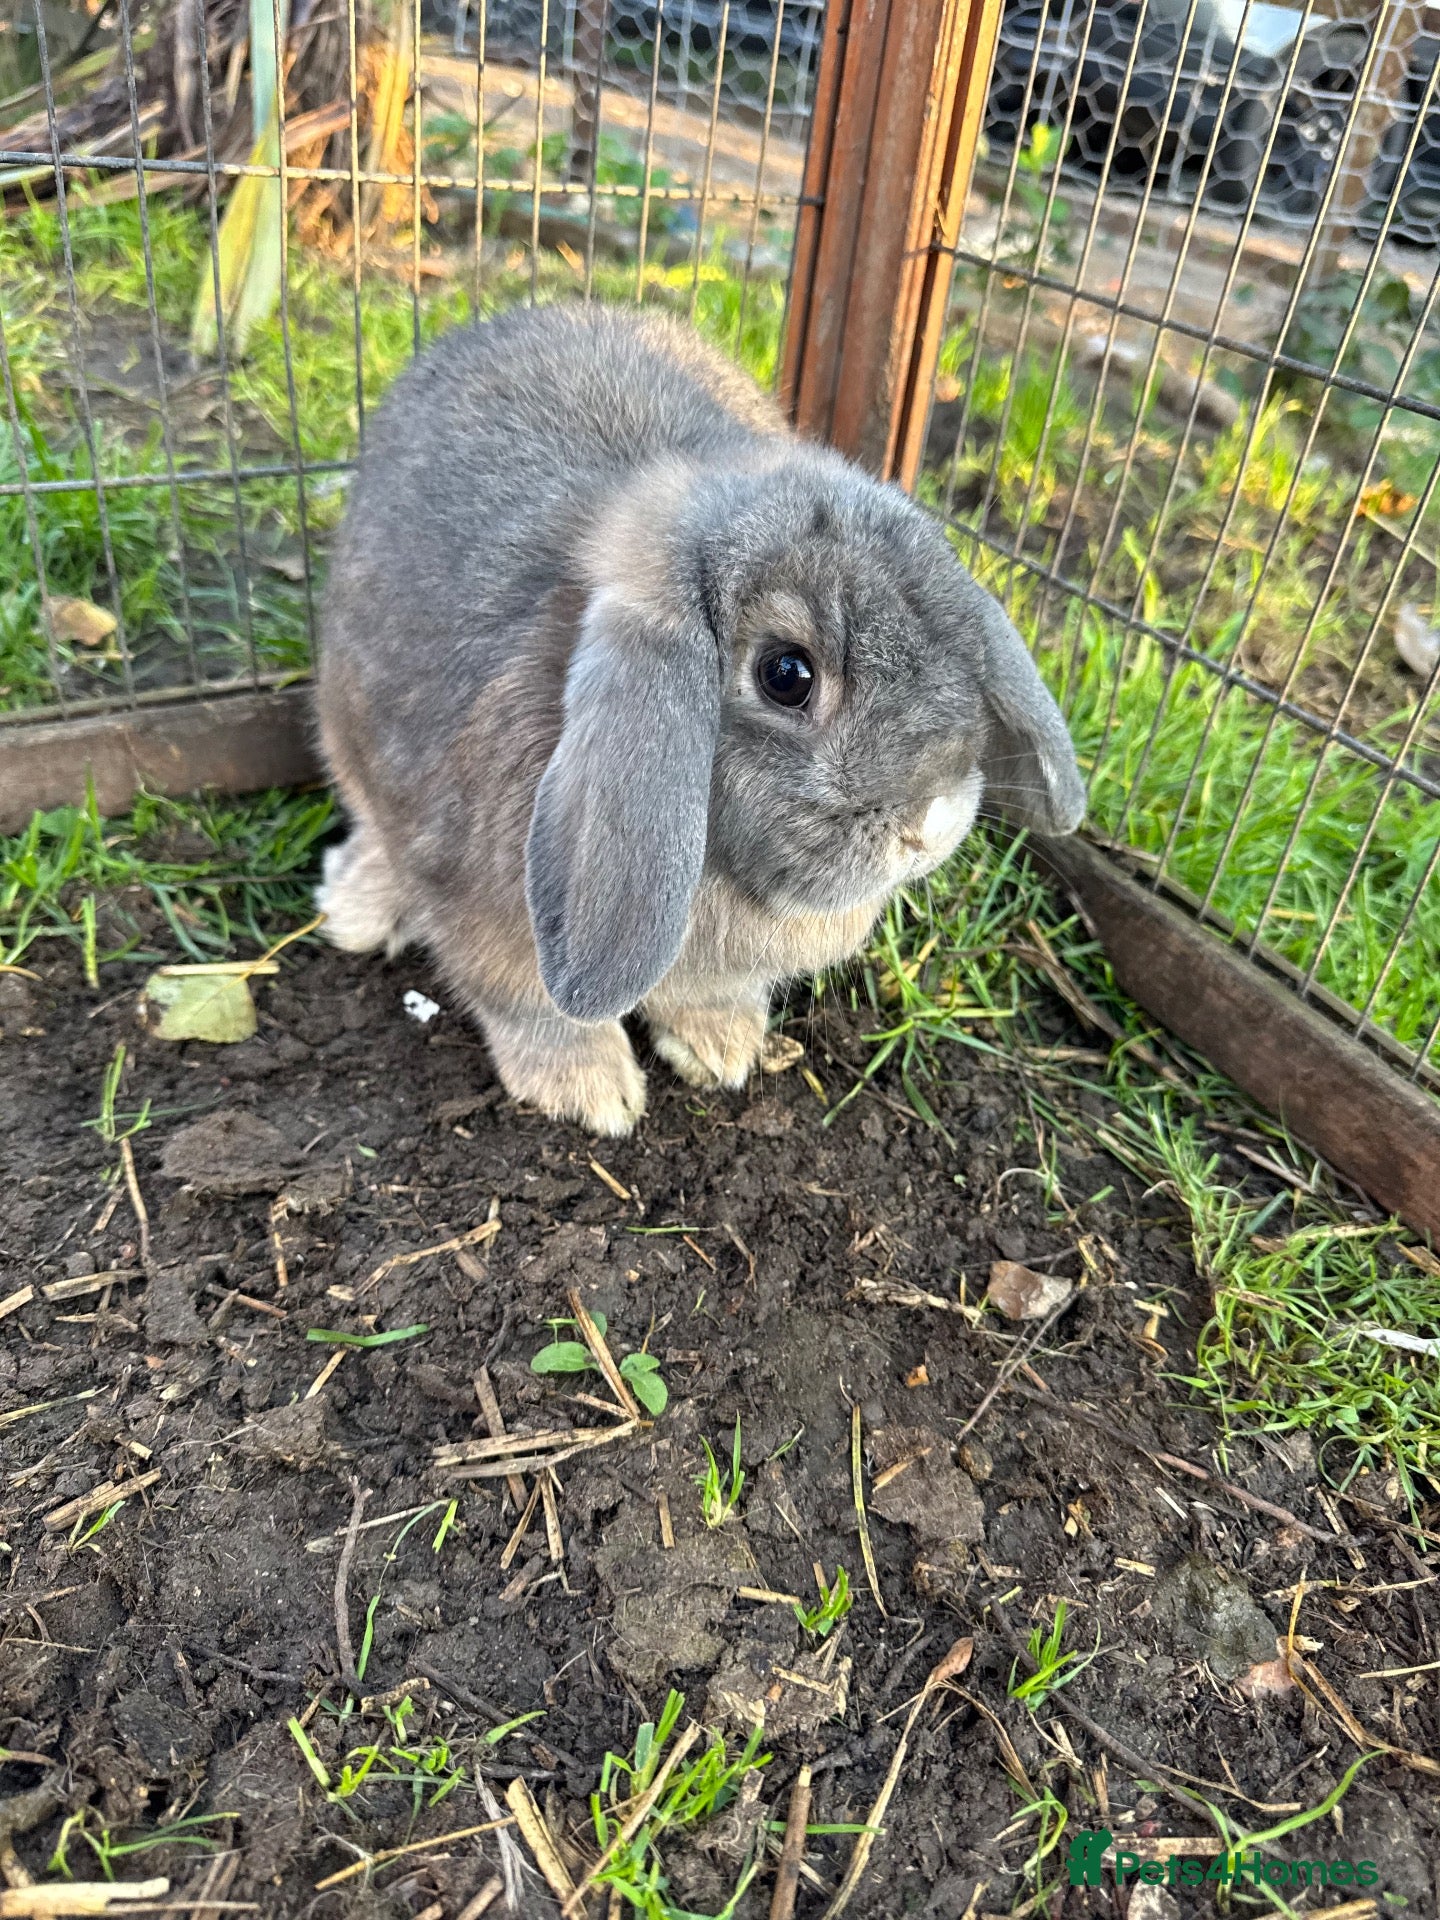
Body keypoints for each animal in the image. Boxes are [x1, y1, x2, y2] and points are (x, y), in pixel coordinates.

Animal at [314, 304, 1085, 1135]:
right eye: (786, 675)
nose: (933, 823)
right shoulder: (482, 918)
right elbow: (529, 1007)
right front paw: (593, 1093)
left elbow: (708, 996)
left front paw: (722, 1050)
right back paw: (355, 908)